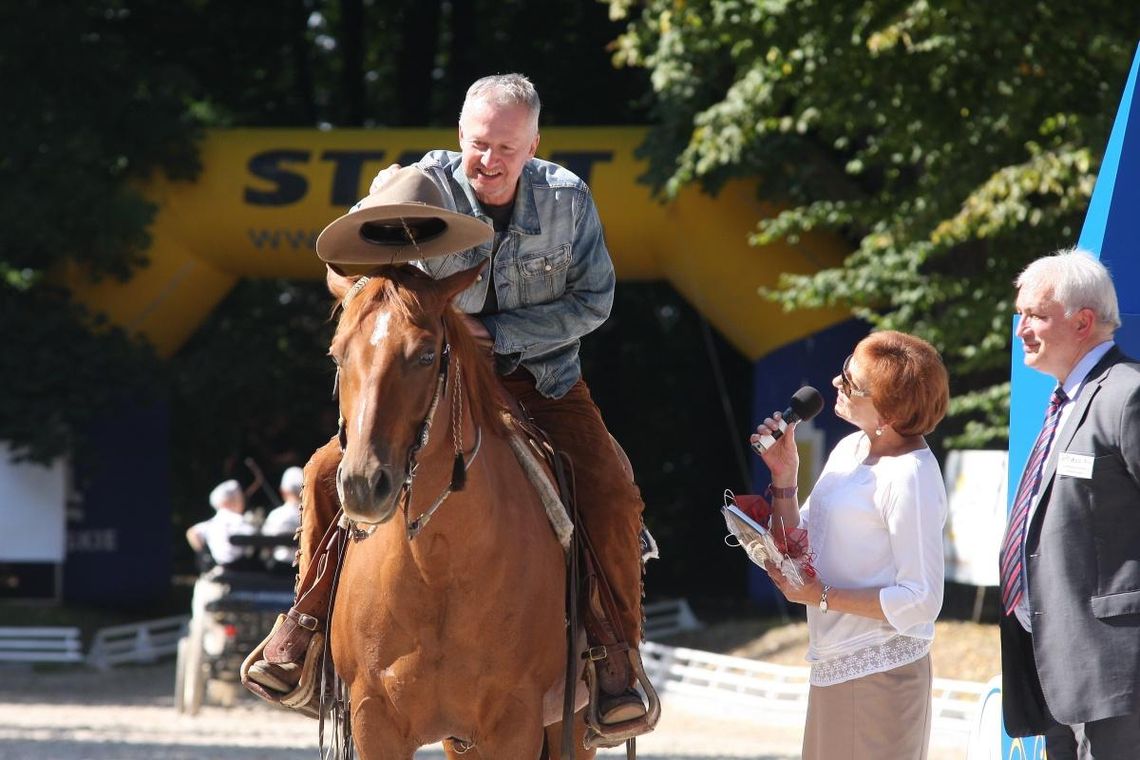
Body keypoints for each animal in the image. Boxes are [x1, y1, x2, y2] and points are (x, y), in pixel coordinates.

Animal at [316, 263, 592, 760]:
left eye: (426, 356)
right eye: (337, 355)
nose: (363, 484)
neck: (436, 563)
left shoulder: (514, 723)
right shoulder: (373, 718)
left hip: (574, 726)